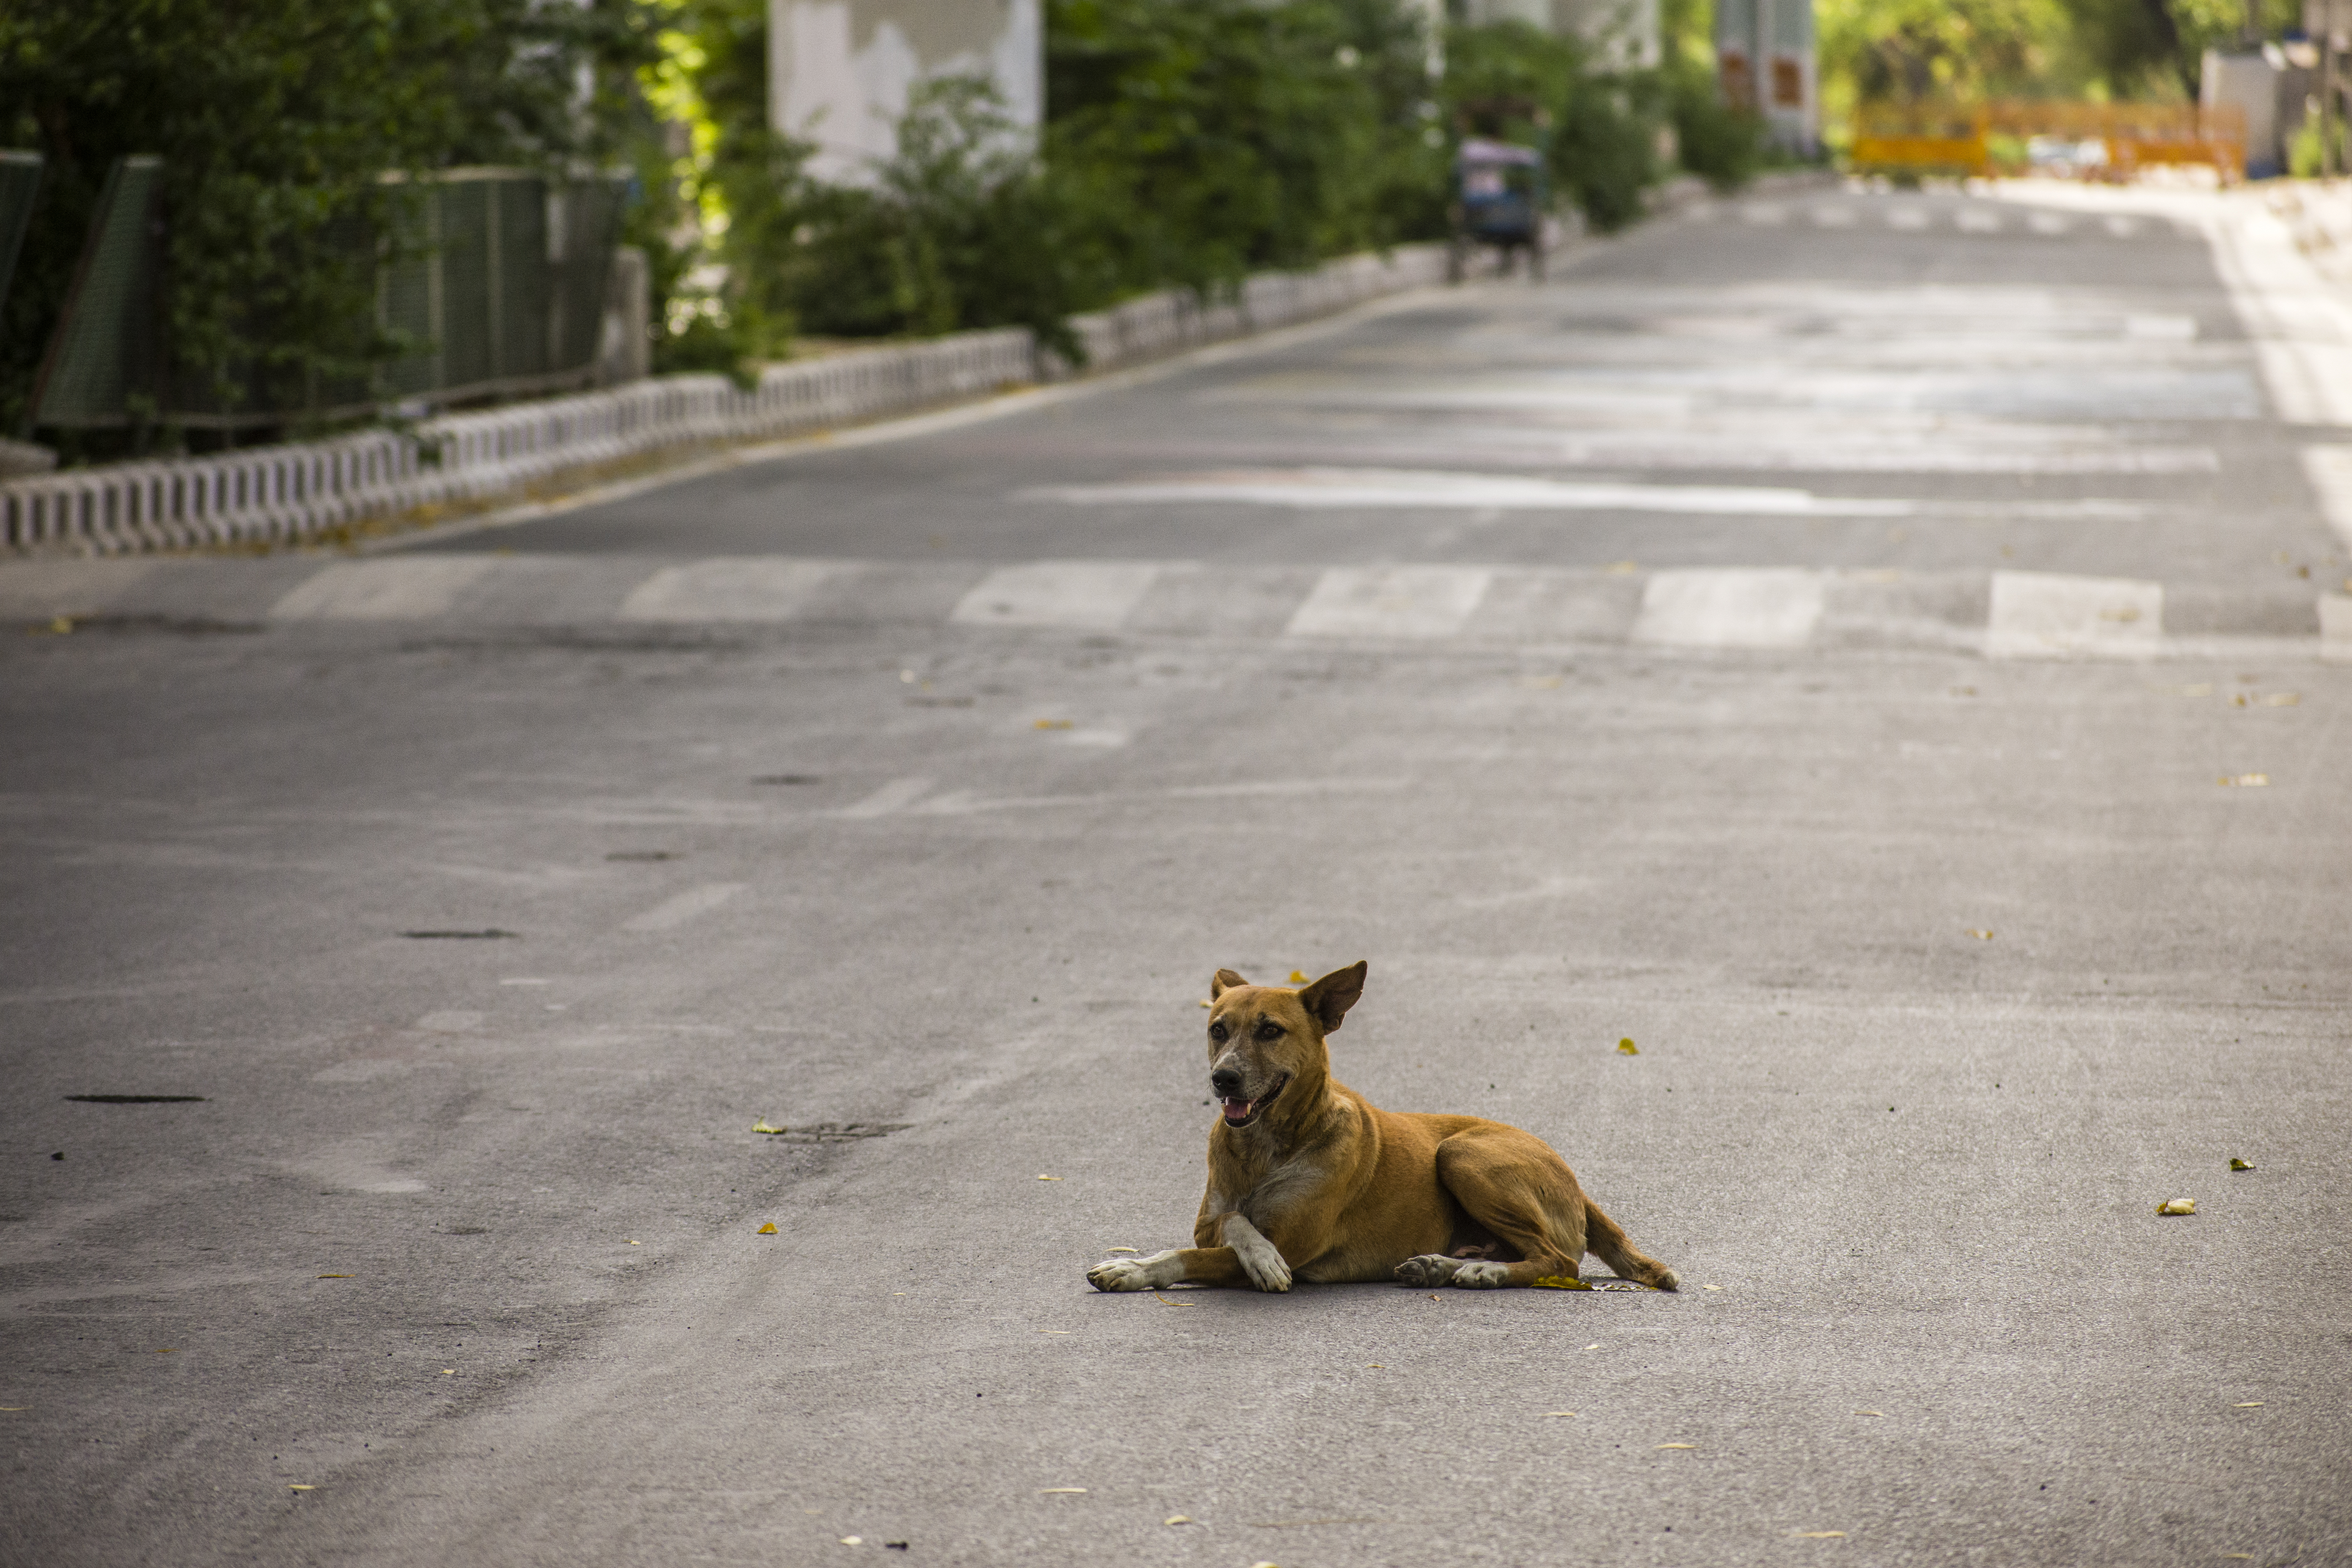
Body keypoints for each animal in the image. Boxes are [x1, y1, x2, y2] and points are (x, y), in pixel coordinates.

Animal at [1082, 964, 1675, 1298]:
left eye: (1270, 1031)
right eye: (1218, 1030)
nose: (1223, 1077)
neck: (1266, 1149)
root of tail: (1570, 1175)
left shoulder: (1295, 1243)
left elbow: (1193, 1253)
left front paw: (1132, 1269)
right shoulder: (1210, 1222)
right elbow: (1233, 1221)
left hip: (1461, 1154)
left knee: (1560, 1260)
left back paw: (1482, 1274)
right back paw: (1443, 1266)